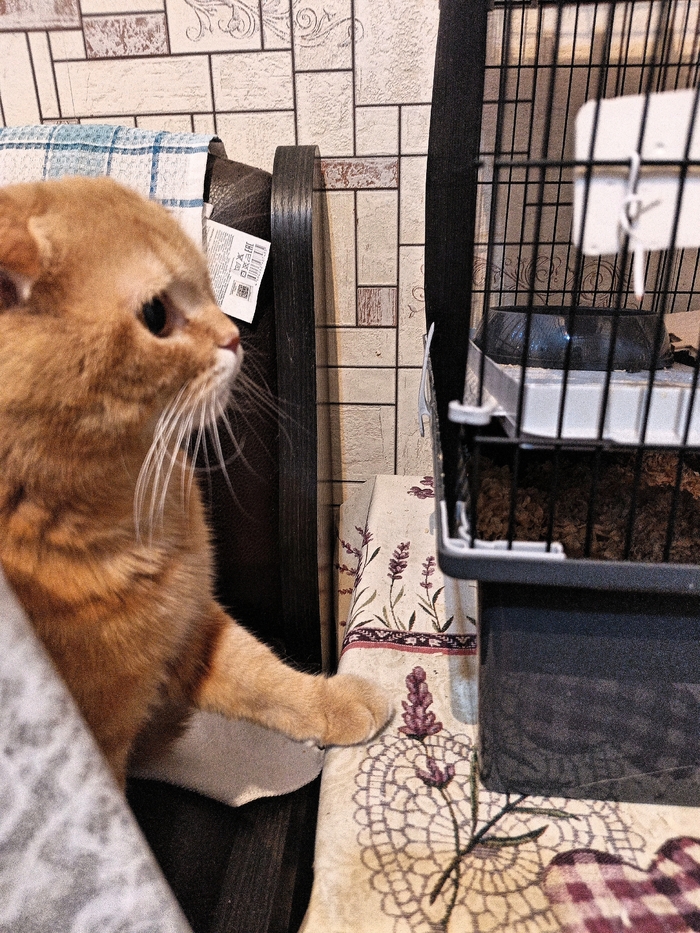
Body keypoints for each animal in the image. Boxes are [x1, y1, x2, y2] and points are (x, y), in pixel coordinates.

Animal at [0, 175, 391, 787]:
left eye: (209, 286)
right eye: (156, 314)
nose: (235, 337)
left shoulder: (191, 621)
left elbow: (263, 674)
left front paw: (332, 701)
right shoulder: (98, 745)